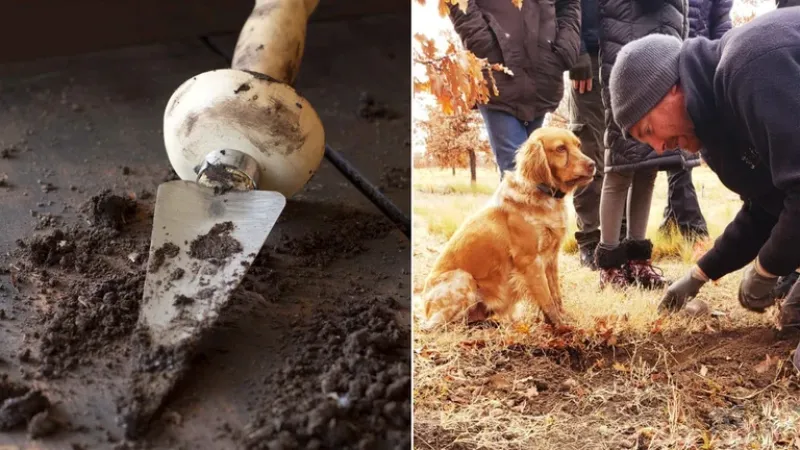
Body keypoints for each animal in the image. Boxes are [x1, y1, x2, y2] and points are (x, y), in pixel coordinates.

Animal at [418, 126, 592, 330]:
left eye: (578, 145)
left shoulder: (551, 258)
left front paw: (563, 319)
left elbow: (556, 294)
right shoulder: (530, 260)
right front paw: (561, 328)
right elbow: (547, 298)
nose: (593, 164)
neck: (541, 194)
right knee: (440, 325)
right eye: (560, 148)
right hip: (463, 278)